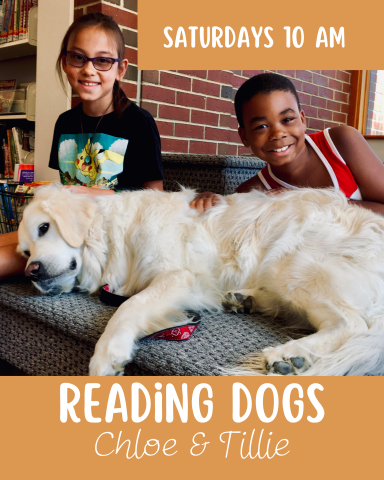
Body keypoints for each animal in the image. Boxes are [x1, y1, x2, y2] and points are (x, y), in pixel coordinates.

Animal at [17, 186, 384, 376]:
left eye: (44, 228)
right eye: (24, 252)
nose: (31, 272)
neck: (113, 236)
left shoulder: (180, 276)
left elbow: (130, 307)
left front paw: (107, 354)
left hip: (292, 263)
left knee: (353, 324)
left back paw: (291, 354)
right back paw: (244, 300)